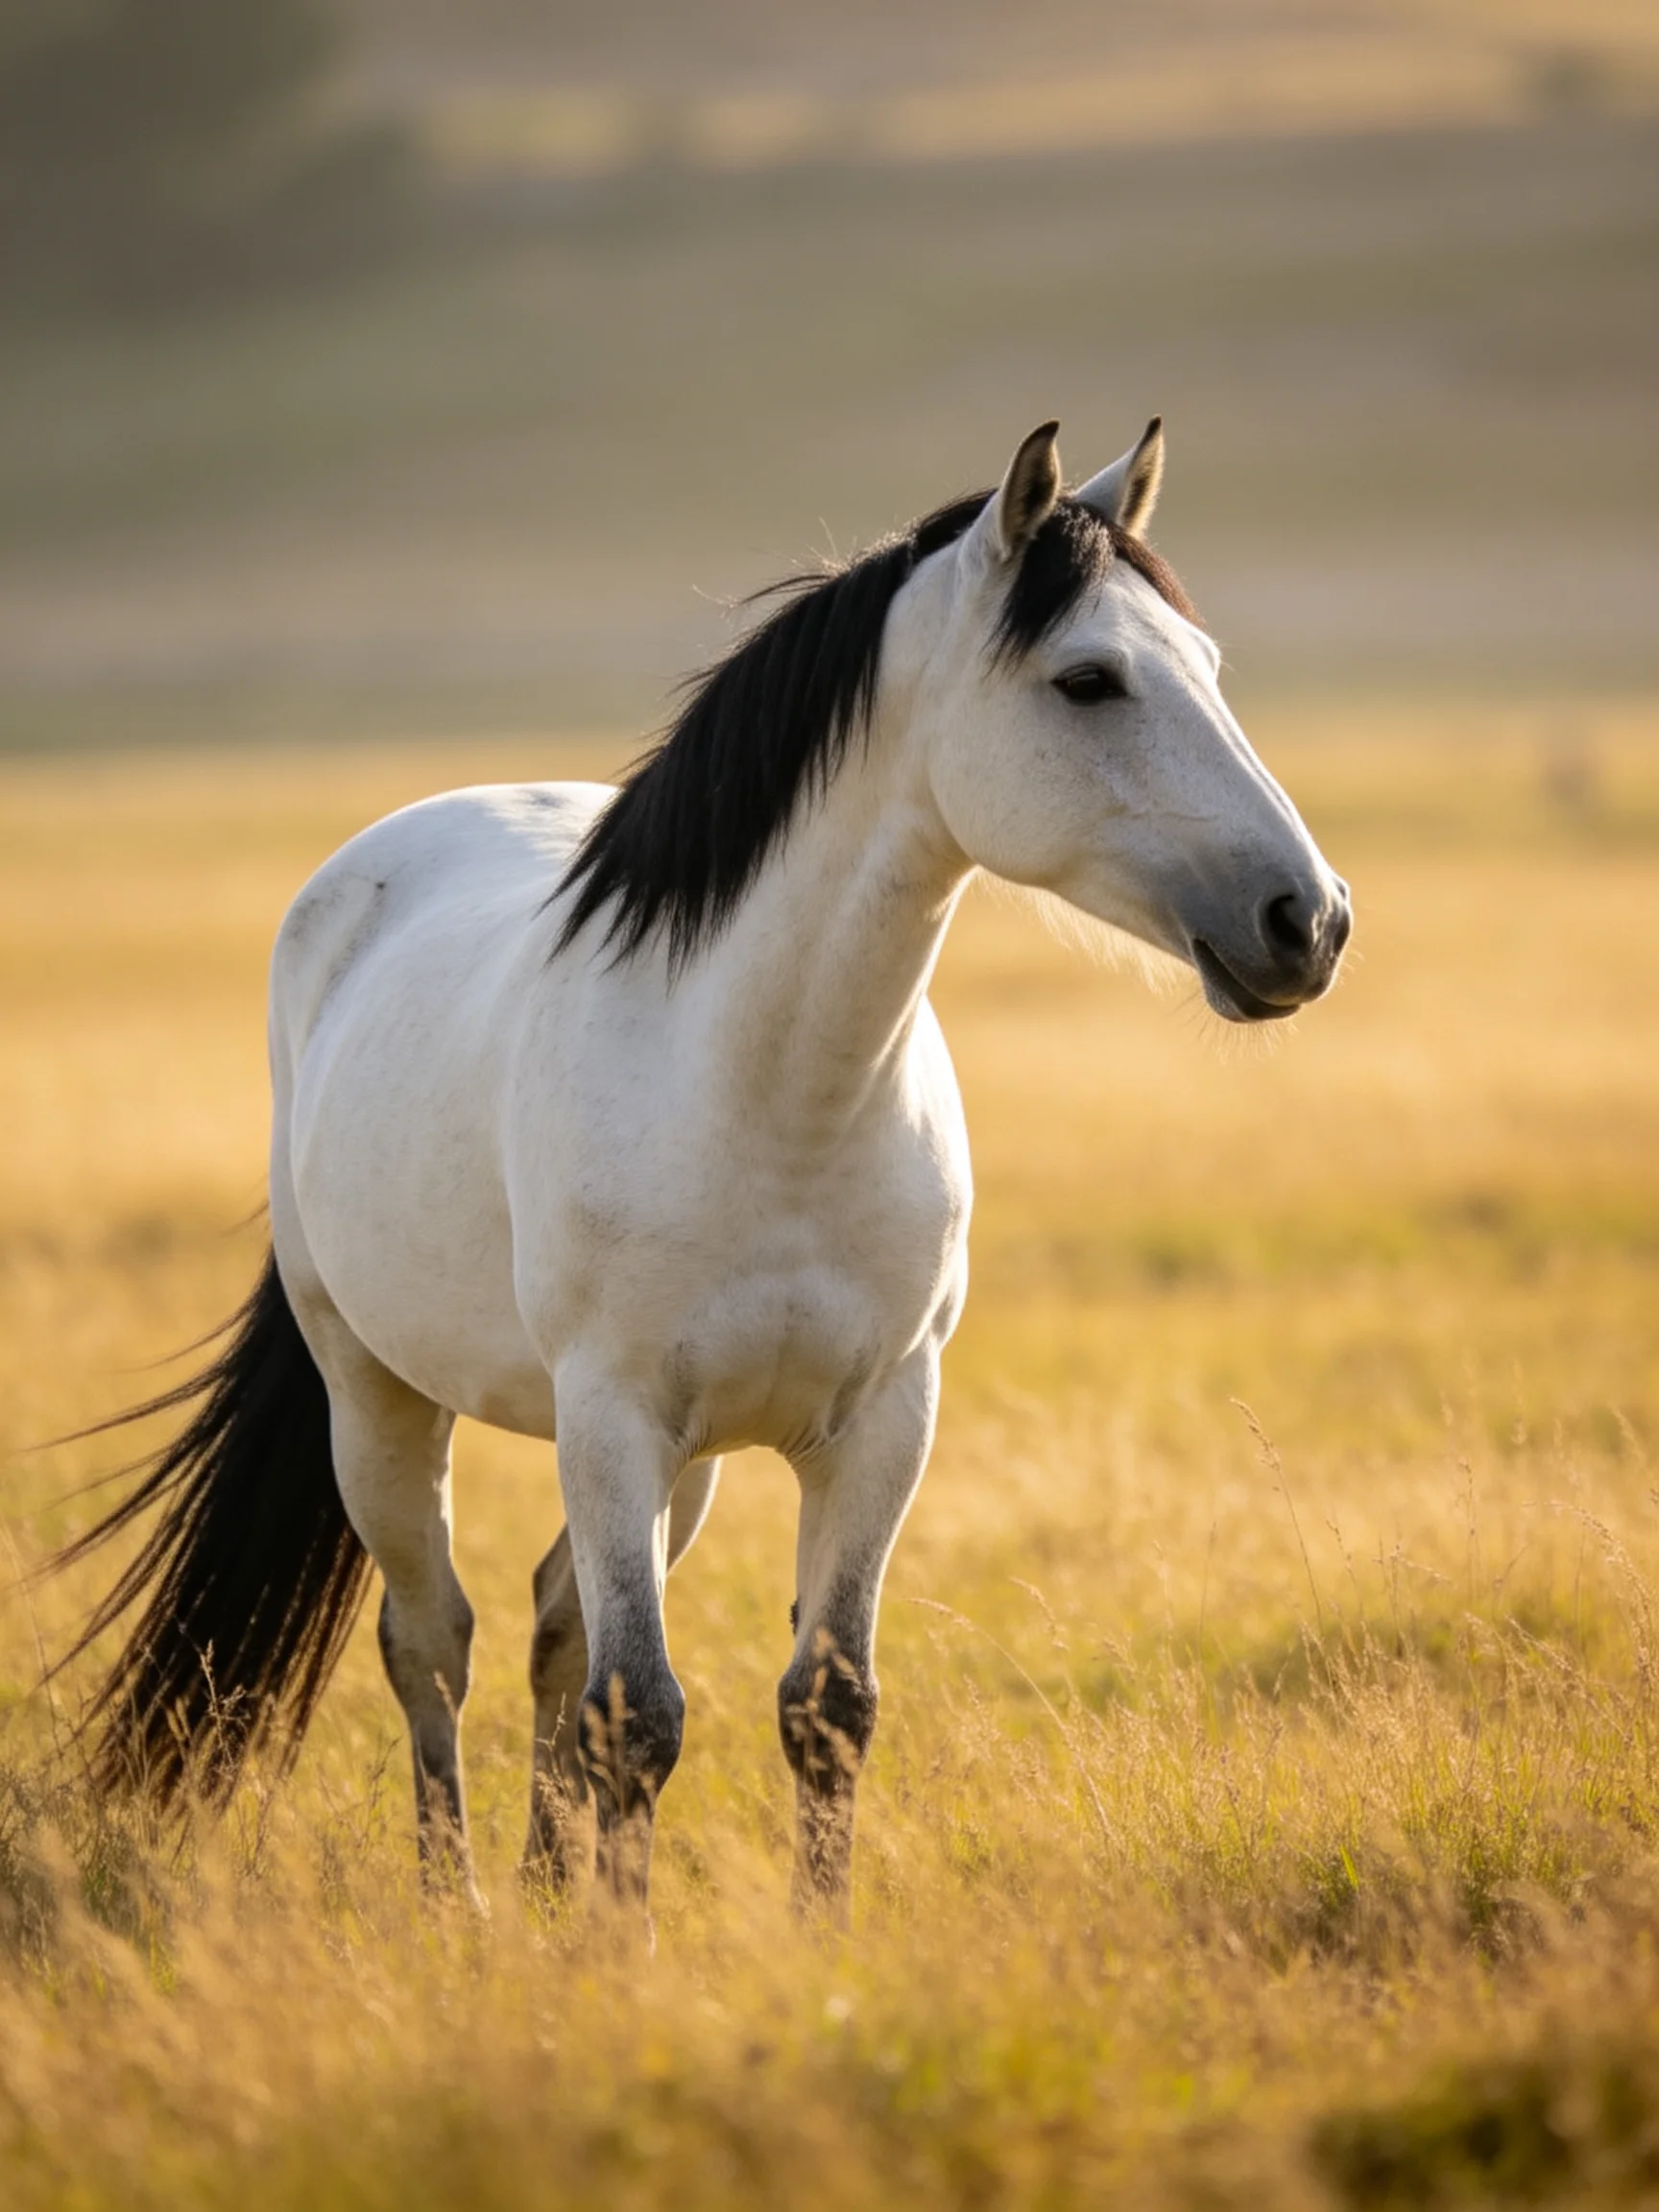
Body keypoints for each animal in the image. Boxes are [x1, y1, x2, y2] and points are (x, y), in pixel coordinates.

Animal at [56, 419, 1351, 1921]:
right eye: (1087, 679)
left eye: (1206, 666)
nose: (1309, 921)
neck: (774, 1099)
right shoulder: (614, 1415)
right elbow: (642, 1712)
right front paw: (624, 1943)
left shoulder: (881, 1423)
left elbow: (821, 1703)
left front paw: (798, 1935)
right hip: (378, 1395)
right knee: (432, 1637)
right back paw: (458, 1903)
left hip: (682, 1470)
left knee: (552, 1627)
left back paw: (541, 1889)